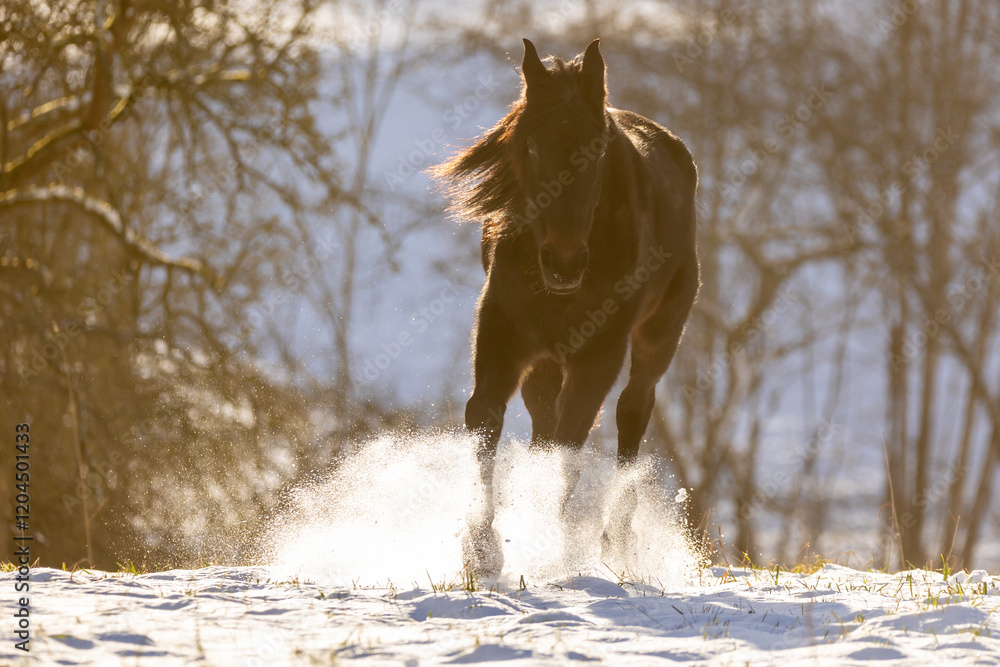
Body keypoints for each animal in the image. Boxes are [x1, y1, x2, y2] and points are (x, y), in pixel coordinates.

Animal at [432, 38, 699, 576]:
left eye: (595, 149)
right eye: (532, 147)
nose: (564, 260)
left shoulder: (599, 351)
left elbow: (574, 435)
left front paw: (555, 545)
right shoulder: (503, 332)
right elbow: (486, 417)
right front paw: (481, 549)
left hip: (658, 336)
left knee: (632, 411)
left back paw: (616, 542)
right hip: (546, 359)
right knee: (545, 419)